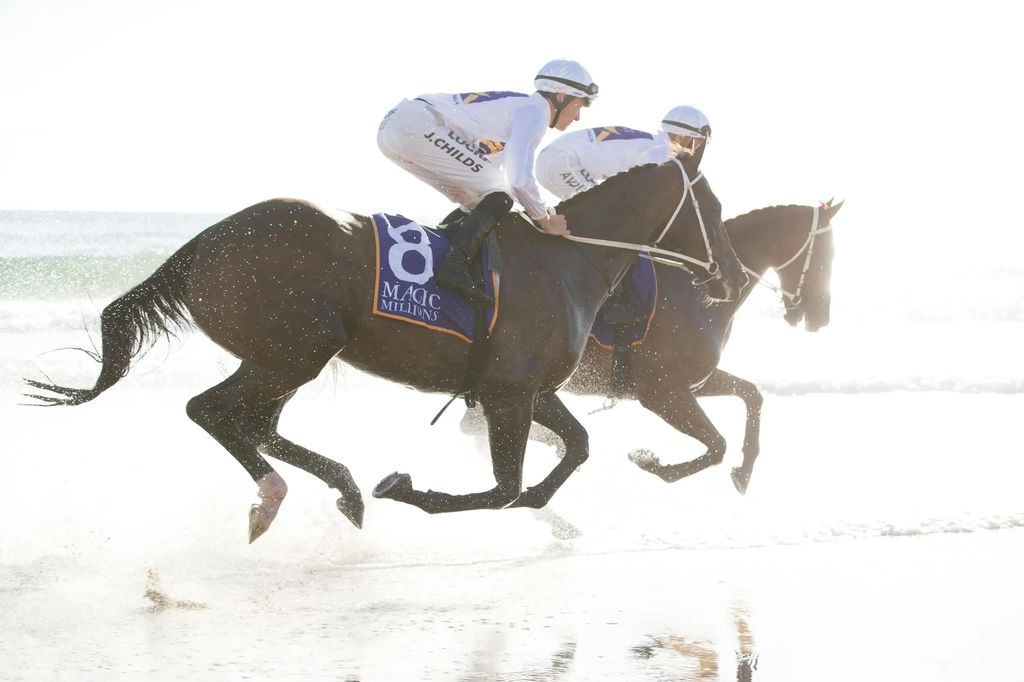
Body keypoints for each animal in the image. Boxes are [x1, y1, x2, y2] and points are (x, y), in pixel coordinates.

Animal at [24, 155, 745, 540]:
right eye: (710, 209)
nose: (732, 277)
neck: (568, 260)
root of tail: (204, 242)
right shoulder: (509, 393)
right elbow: (505, 488)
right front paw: (407, 487)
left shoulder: (528, 391)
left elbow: (573, 452)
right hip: (294, 351)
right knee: (212, 411)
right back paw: (280, 496)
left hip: (283, 357)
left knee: (252, 421)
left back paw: (339, 490)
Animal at [462, 199, 839, 497]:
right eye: (829, 254)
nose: (822, 316)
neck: (699, 294)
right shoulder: (661, 392)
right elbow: (717, 444)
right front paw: (650, 461)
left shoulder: (693, 382)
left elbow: (751, 394)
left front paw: (743, 472)